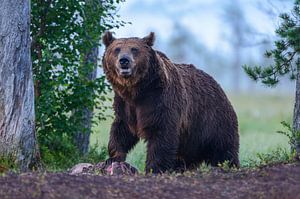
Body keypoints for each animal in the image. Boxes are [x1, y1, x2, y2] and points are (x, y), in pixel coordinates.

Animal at [102, 31, 239, 173]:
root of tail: (219, 87)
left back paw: (228, 165)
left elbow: (161, 133)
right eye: (117, 49)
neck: (137, 91)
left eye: (134, 49)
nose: (124, 61)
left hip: (212, 120)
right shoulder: (124, 104)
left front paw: (154, 168)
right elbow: (121, 129)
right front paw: (113, 157)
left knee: (223, 148)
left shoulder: (159, 101)